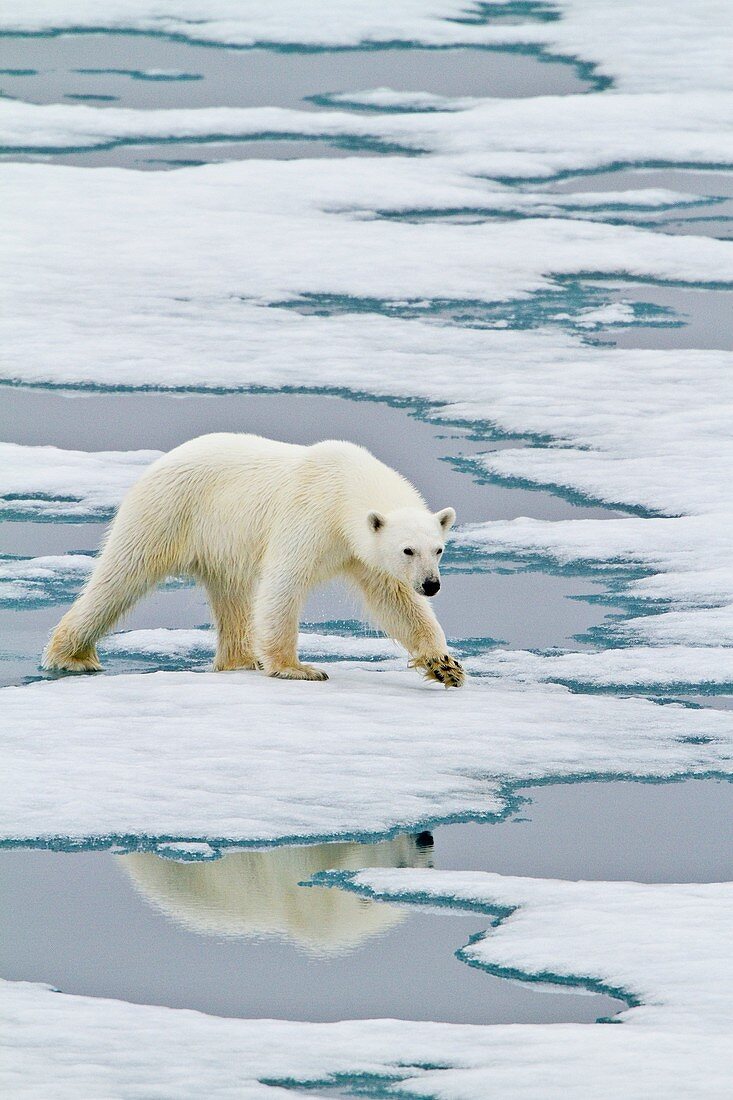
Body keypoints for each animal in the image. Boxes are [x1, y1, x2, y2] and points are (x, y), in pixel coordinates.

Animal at [42, 431, 462, 682]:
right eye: (407, 549)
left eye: (438, 548)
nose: (431, 585)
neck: (345, 488)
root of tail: (157, 464)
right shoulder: (309, 517)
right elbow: (284, 584)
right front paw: (297, 668)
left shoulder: (360, 552)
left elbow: (394, 600)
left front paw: (445, 666)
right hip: (168, 512)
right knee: (121, 576)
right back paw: (72, 655)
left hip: (220, 543)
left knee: (232, 596)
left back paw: (240, 659)